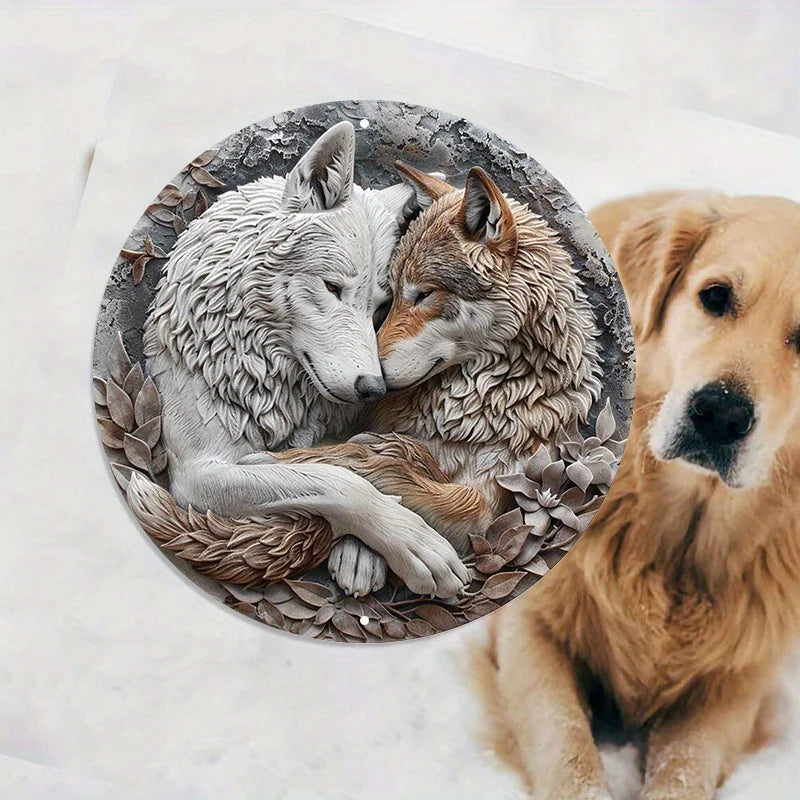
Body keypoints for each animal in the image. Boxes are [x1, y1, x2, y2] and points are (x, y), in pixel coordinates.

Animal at [140, 122, 470, 598]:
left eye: (380, 307)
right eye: (332, 288)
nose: (374, 388)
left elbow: (355, 462)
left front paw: (362, 555)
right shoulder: (199, 473)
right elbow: (333, 480)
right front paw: (412, 542)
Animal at [275, 162, 603, 596]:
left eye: (424, 294)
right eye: (392, 299)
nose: (372, 387)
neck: (471, 403)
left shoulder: (500, 486)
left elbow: (461, 502)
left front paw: (353, 463)